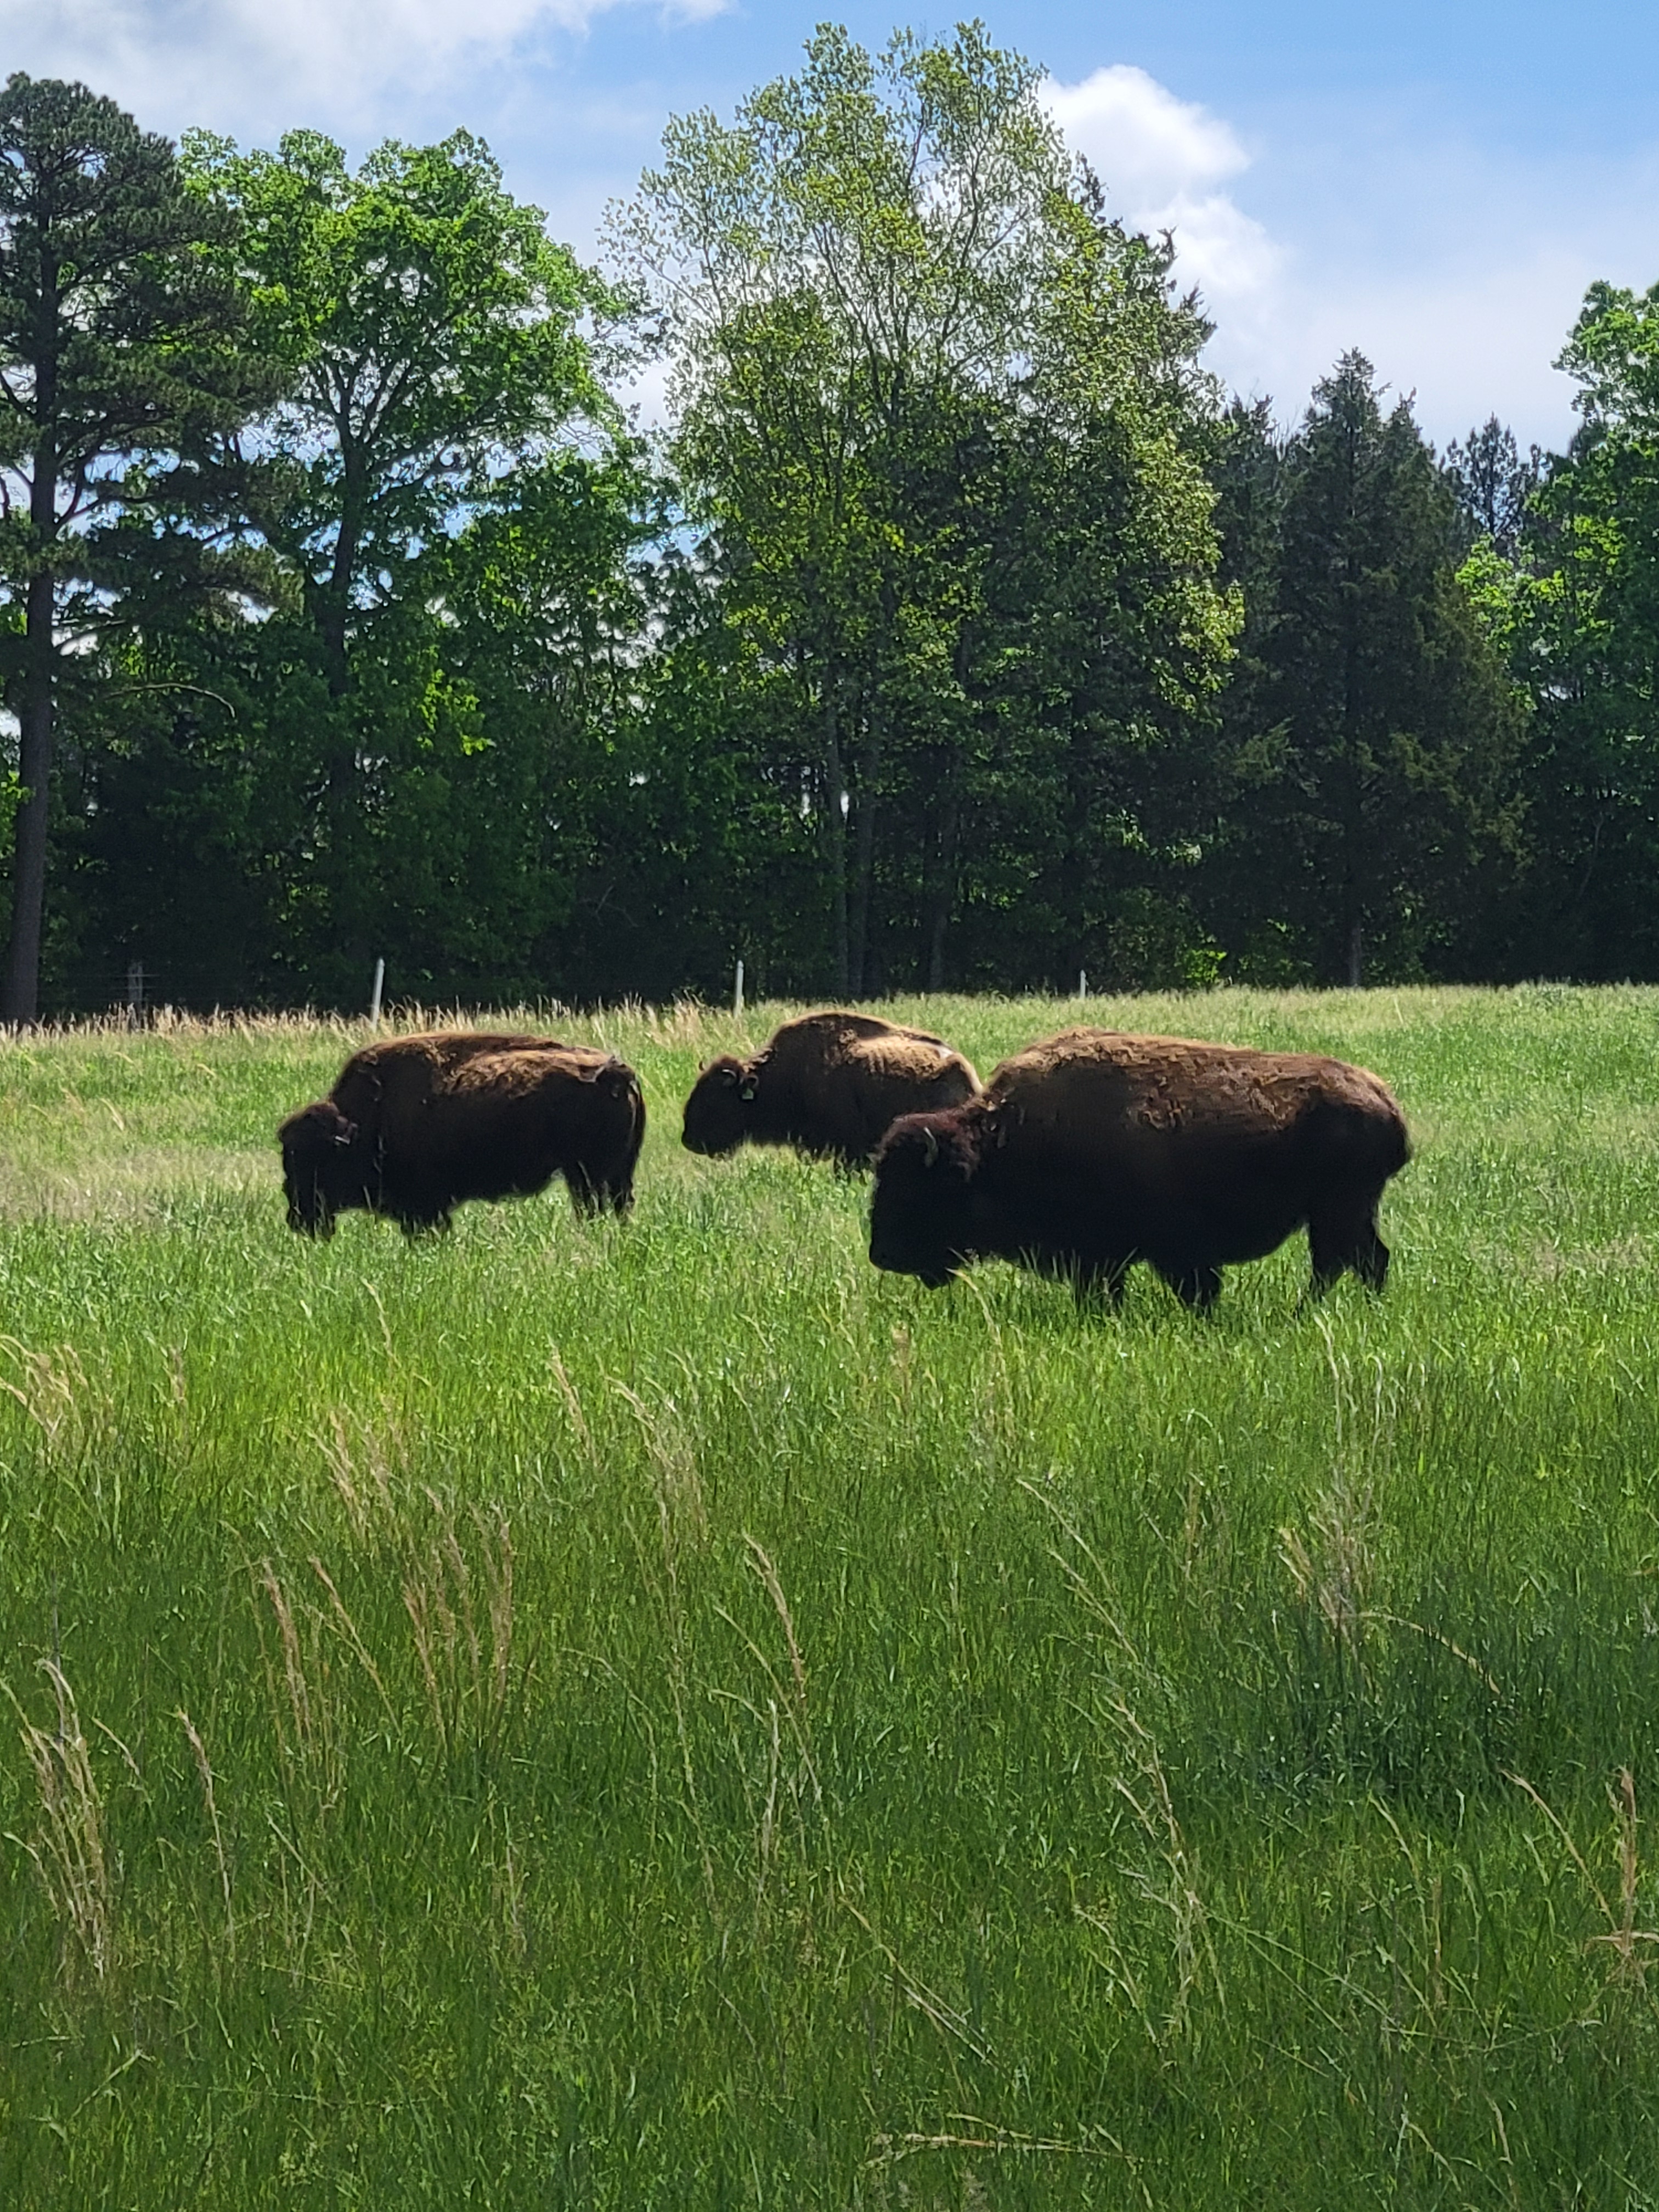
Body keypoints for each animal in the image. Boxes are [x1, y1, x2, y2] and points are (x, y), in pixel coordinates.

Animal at [279, 1030, 645, 1237]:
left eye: (315, 1162)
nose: (299, 1220)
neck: (367, 1120)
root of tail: (618, 1071)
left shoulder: (425, 1207)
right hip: (614, 1175)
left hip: (588, 1176)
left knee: (592, 1209)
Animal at [869, 1027, 1409, 1309]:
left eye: (917, 1190)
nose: (881, 1254)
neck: (999, 1142)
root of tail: (1383, 1101)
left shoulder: (1162, 1251)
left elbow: (1196, 1287)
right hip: (1342, 1214)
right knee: (1357, 1261)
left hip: (1339, 1211)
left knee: (1348, 1262)